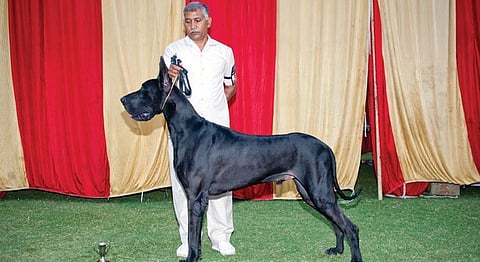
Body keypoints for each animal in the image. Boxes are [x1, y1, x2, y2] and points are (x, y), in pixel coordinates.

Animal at [121, 57, 364, 262]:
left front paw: (192, 258)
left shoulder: (196, 197)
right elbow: (194, 238)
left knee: (350, 227)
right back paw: (337, 250)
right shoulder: (196, 198)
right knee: (337, 224)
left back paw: (354, 256)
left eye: (144, 90)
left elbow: (192, 236)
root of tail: (325, 146)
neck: (187, 129)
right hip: (310, 193)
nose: (122, 99)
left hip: (319, 193)